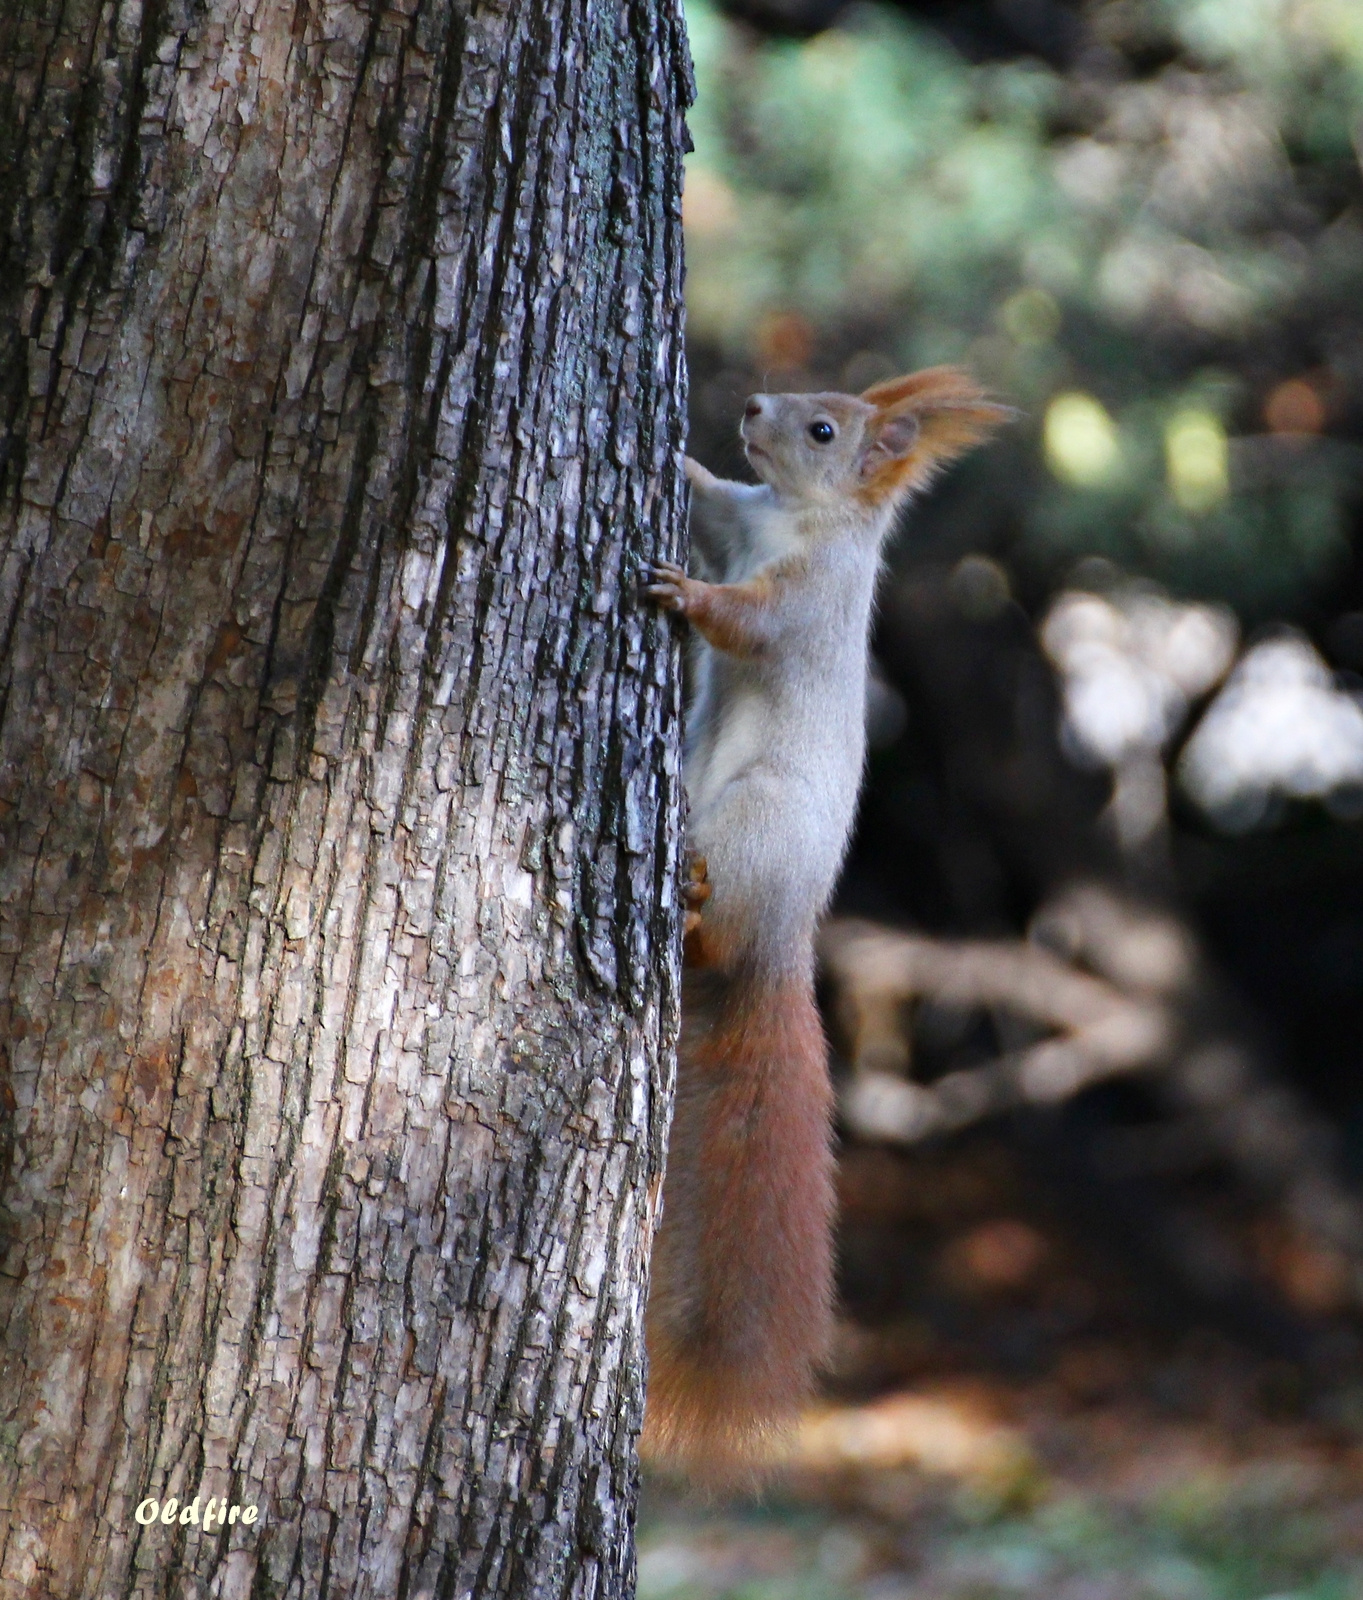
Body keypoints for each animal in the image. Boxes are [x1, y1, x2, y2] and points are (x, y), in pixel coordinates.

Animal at [643, 368, 1011, 1478]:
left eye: (820, 430)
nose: (751, 406)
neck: (795, 516)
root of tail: (782, 942)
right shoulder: (738, 516)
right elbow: (709, 497)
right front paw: (681, 457)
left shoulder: (807, 601)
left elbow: (747, 623)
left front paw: (683, 597)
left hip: (753, 819)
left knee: (717, 924)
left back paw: (693, 903)